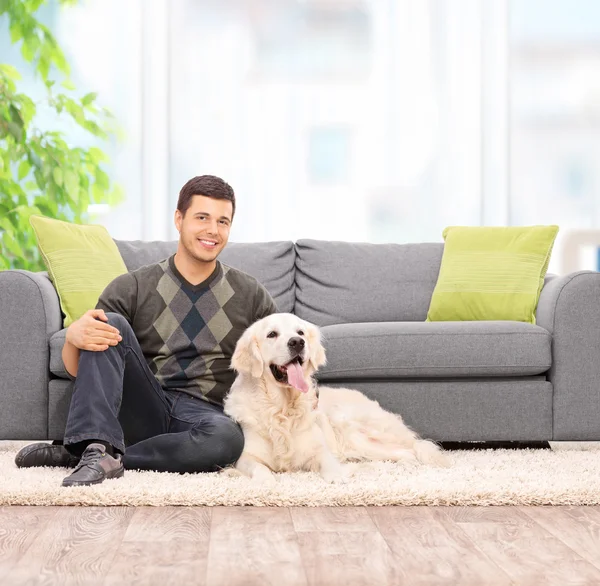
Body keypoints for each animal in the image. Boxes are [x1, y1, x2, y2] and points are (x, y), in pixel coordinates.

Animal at [223, 312, 448, 482]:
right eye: (271, 334)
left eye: (300, 332)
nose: (297, 342)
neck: (282, 408)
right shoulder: (246, 456)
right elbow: (259, 469)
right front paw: (265, 481)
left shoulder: (318, 449)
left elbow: (328, 462)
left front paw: (338, 476)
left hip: (351, 429)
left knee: (410, 450)